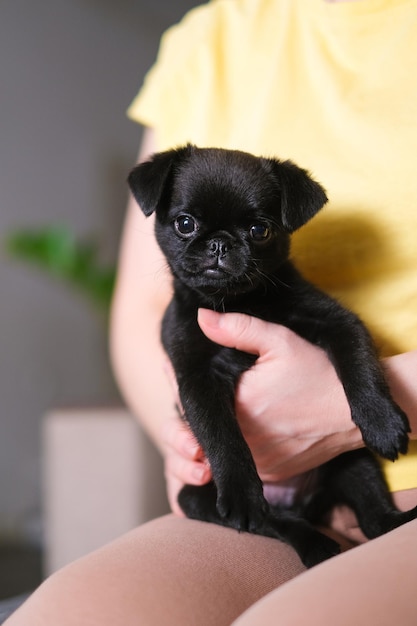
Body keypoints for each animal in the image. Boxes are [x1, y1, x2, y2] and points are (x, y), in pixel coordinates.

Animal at [128, 145, 414, 564]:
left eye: (259, 231)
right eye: (185, 224)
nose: (219, 243)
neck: (237, 304)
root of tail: (301, 504)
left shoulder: (337, 321)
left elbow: (359, 362)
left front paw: (381, 420)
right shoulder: (195, 375)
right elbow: (221, 432)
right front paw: (241, 492)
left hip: (354, 461)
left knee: (375, 516)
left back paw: (398, 522)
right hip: (195, 497)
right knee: (276, 521)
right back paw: (313, 544)